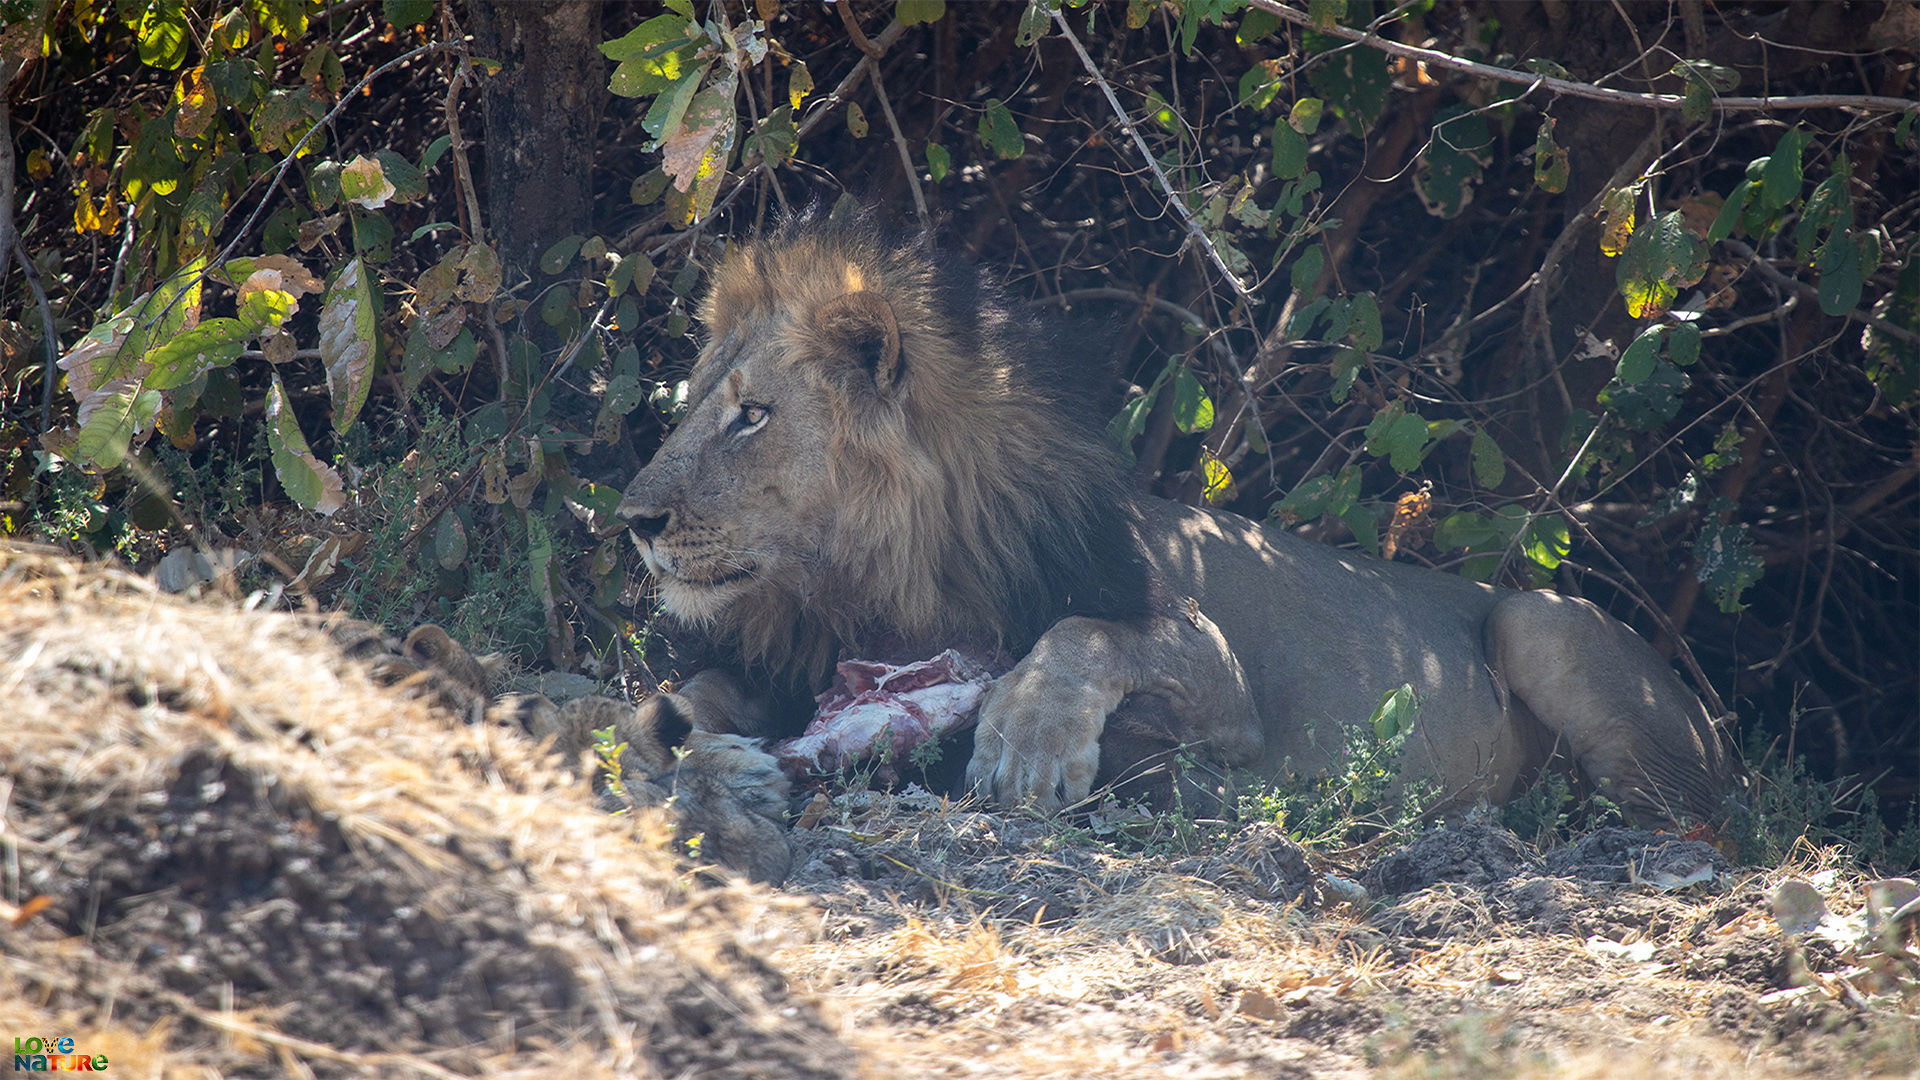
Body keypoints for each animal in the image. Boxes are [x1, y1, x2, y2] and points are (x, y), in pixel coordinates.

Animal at [618, 216, 1743, 822]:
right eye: (696, 401)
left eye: (752, 415)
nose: (633, 517)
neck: (873, 586)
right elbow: (684, 698)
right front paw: (696, 748)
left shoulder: (1216, 671)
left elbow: (1086, 636)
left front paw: (1027, 744)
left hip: (1538, 620)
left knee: (1694, 821)